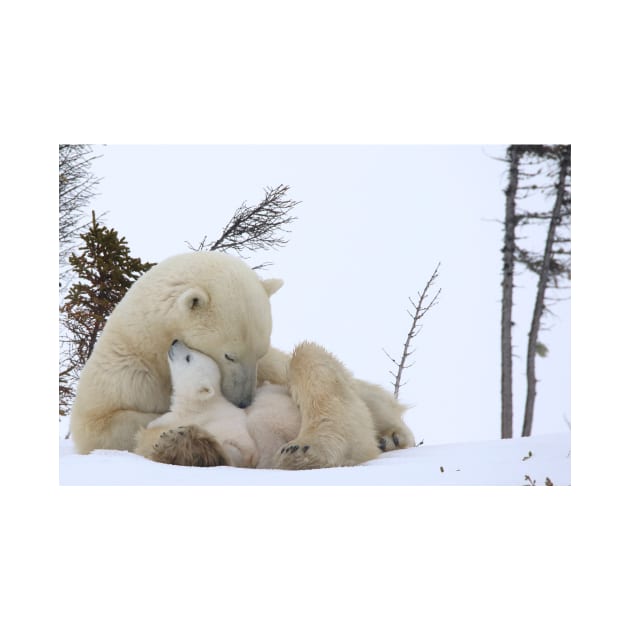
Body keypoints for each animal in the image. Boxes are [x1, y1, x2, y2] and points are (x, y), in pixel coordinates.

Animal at [71, 252, 418, 470]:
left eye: (259, 352)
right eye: (229, 354)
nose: (243, 402)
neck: (153, 348)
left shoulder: (270, 368)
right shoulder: (125, 372)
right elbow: (101, 427)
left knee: (317, 367)